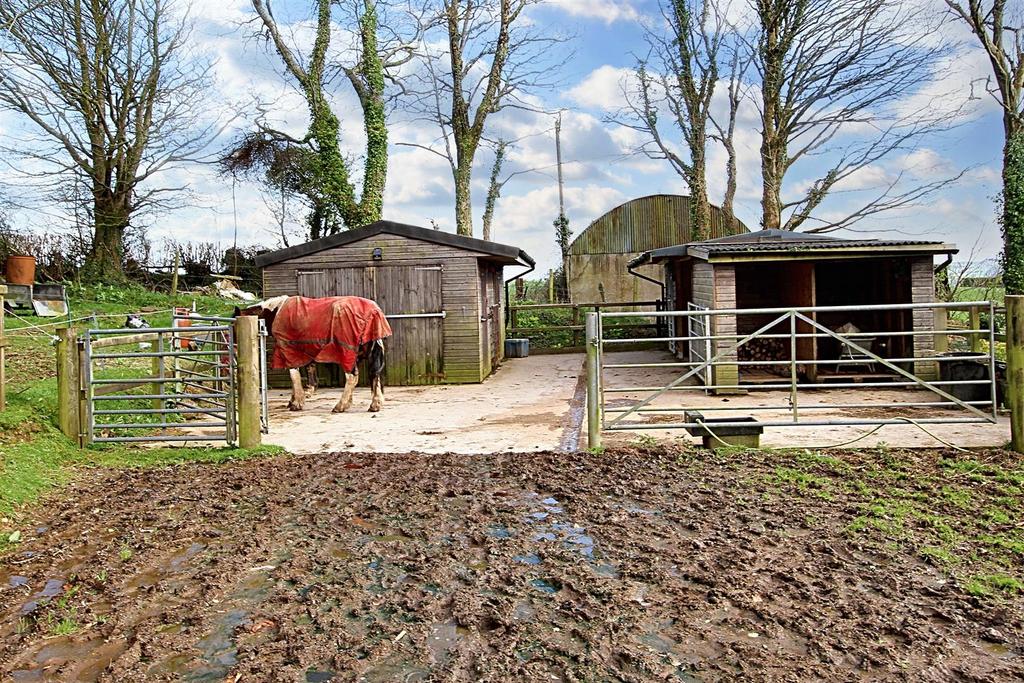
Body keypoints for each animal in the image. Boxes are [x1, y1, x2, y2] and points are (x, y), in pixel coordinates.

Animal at [235, 294, 391, 411]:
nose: (236, 351)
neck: (276, 312)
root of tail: (374, 312)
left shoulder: (289, 350)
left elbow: (294, 375)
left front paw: (297, 403)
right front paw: (294, 400)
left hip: (348, 352)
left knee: (352, 377)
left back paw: (340, 405)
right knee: (374, 375)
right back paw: (374, 404)